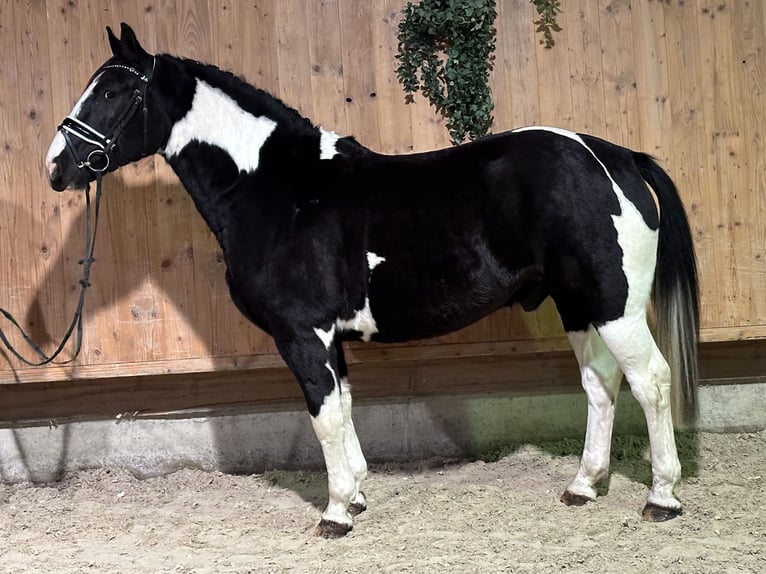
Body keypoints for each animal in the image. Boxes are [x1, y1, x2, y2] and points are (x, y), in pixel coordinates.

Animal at [45, 24, 700, 540]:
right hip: (578, 306)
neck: (279, 190)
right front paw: (356, 494)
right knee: (600, 383)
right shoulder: (328, 337)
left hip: (614, 307)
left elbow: (324, 416)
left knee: (651, 380)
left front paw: (335, 513)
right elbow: (344, 407)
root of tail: (617, 157)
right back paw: (584, 486)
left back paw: (662, 498)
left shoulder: (302, 333)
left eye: (114, 91)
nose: (56, 166)